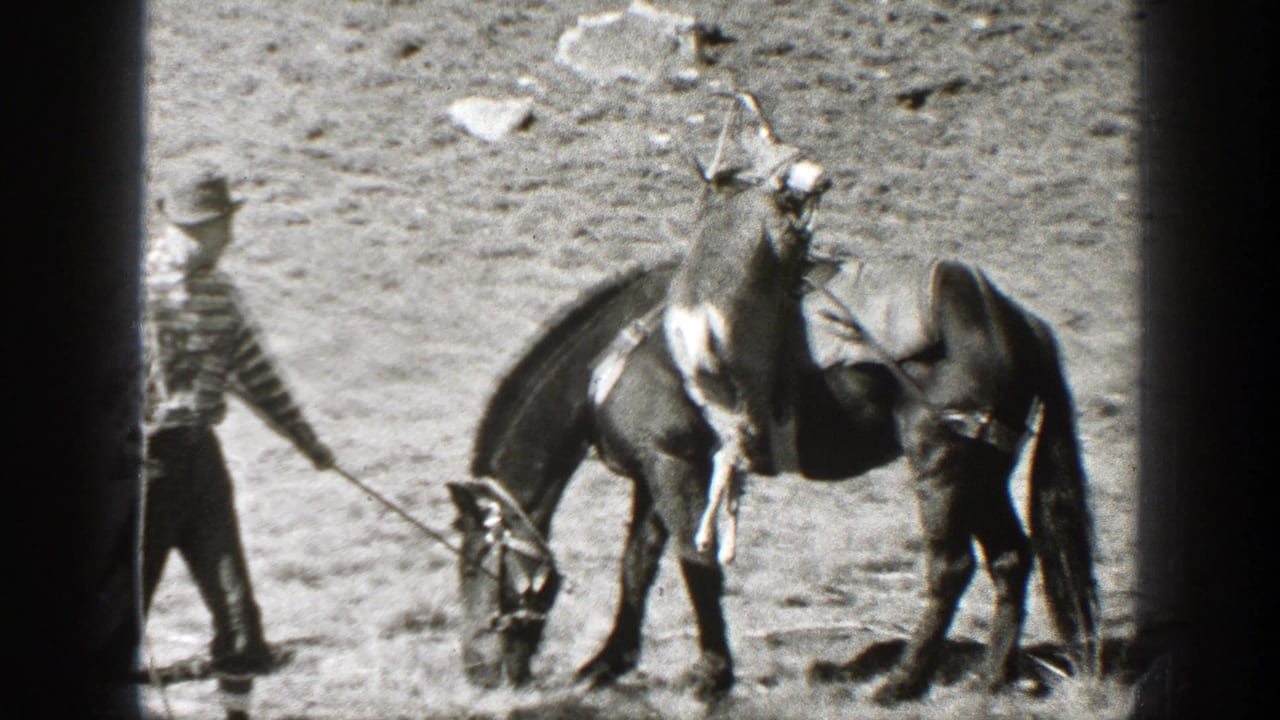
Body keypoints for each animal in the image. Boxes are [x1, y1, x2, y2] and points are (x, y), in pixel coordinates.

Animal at [446, 114, 1099, 707]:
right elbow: (636, 566)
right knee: (1011, 557)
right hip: (985, 465)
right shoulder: (654, 473)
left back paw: (902, 682)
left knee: (951, 565)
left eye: (478, 563)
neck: (613, 359)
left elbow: (694, 562)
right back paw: (993, 677)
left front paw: (712, 676)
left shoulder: (675, 465)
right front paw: (607, 663)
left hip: (943, 459)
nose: (479, 671)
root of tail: (1015, 318)